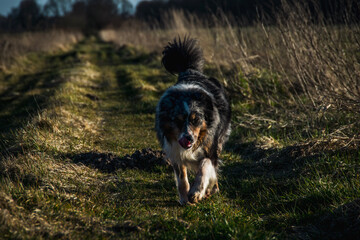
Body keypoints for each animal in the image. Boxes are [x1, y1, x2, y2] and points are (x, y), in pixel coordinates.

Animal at [155, 36, 231, 205]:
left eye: (196, 120)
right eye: (177, 120)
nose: (188, 138)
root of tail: (191, 70)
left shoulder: (210, 146)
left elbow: (205, 166)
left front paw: (197, 192)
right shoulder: (174, 149)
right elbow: (181, 176)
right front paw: (184, 198)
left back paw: (211, 189)